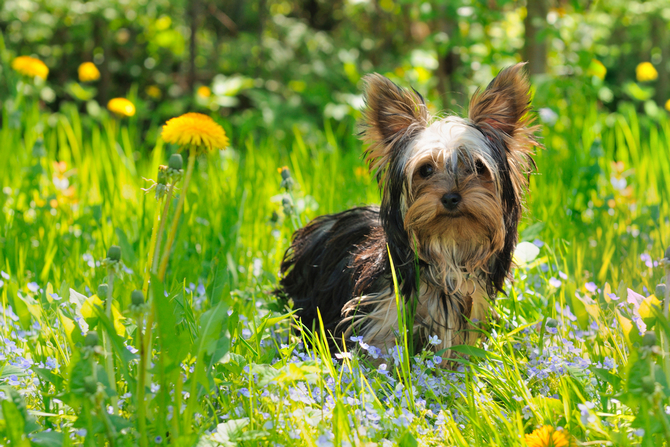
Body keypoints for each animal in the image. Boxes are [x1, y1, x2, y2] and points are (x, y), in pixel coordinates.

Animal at [276, 64, 544, 364]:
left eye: (477, 167)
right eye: (425, 170)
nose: (451, 197)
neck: (447, 248)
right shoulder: (381, 316)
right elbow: (380, 354)